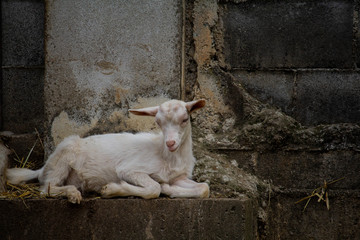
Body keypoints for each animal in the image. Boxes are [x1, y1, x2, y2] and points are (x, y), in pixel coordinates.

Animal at [5, 99, 210, 202]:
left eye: (185, 119)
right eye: (158, 122)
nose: (171, 143)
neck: (168, 156)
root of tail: (43, 167)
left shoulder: (179, 177)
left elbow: (204, 188)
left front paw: (170, 189)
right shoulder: (129, 169)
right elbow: (154, 188)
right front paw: (111, 189)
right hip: (62, 156)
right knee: (47, 188)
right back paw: (73, 194)